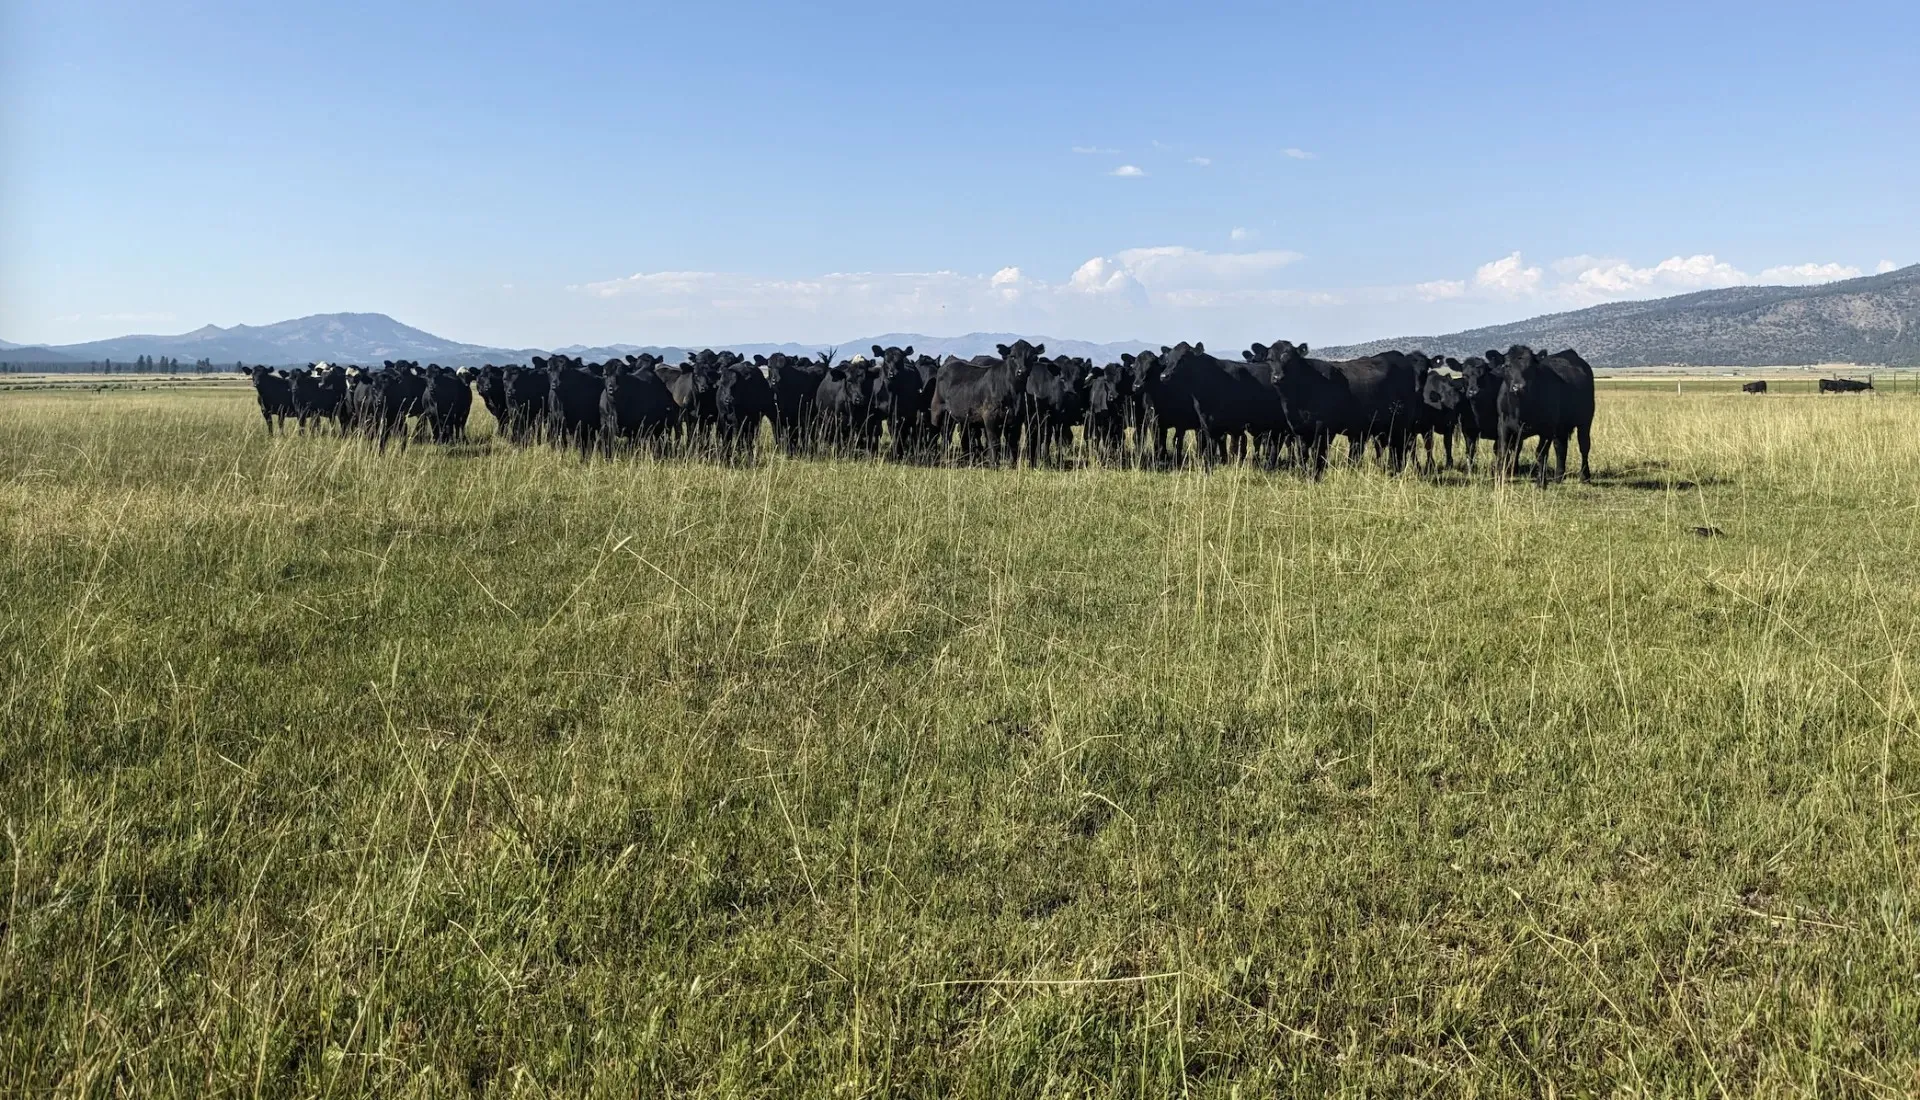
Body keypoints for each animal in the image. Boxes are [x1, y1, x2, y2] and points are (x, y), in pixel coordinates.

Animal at [1493, 345, 1595, 487]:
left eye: (1531, 367)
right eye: (1507, 366)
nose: (1518, 387)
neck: (1521, 409)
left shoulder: (1547, 429)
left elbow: (1541, 453)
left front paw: (1541, 482)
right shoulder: (1502, 424)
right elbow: (1503, 451)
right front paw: (1500, 479)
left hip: (1585, 421)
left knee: (1584, 446)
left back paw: (1585, 477)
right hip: (1561, 427)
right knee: (1561, 447)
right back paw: (1558, 477)